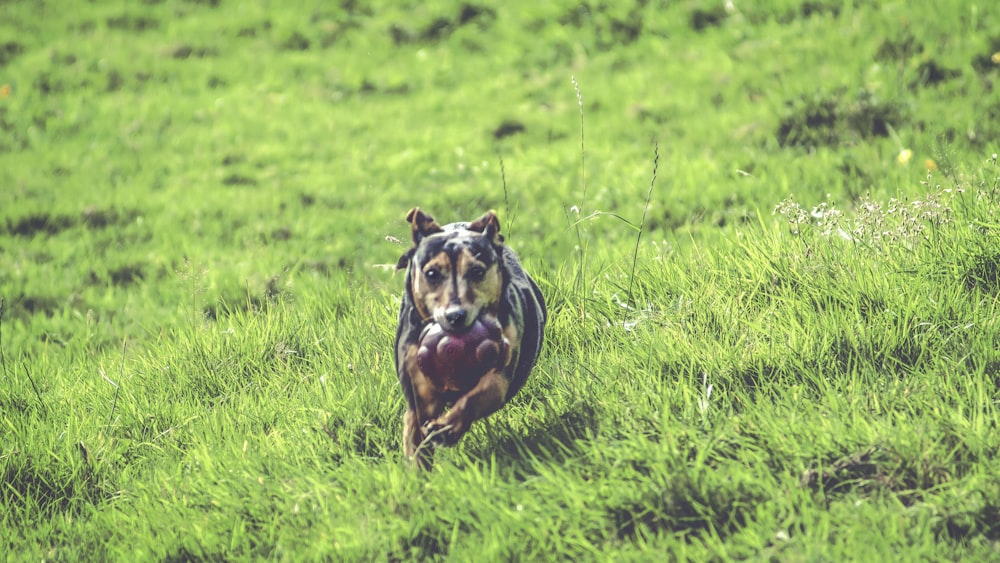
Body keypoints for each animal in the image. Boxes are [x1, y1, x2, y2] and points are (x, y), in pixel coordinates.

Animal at [392, 209, 548, 470]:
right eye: (432, 274)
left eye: (477, 272)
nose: (456, 316)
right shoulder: (419, 391)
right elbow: (417, 433)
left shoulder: (500, 375)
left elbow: (477, 396)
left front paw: (448, 427)